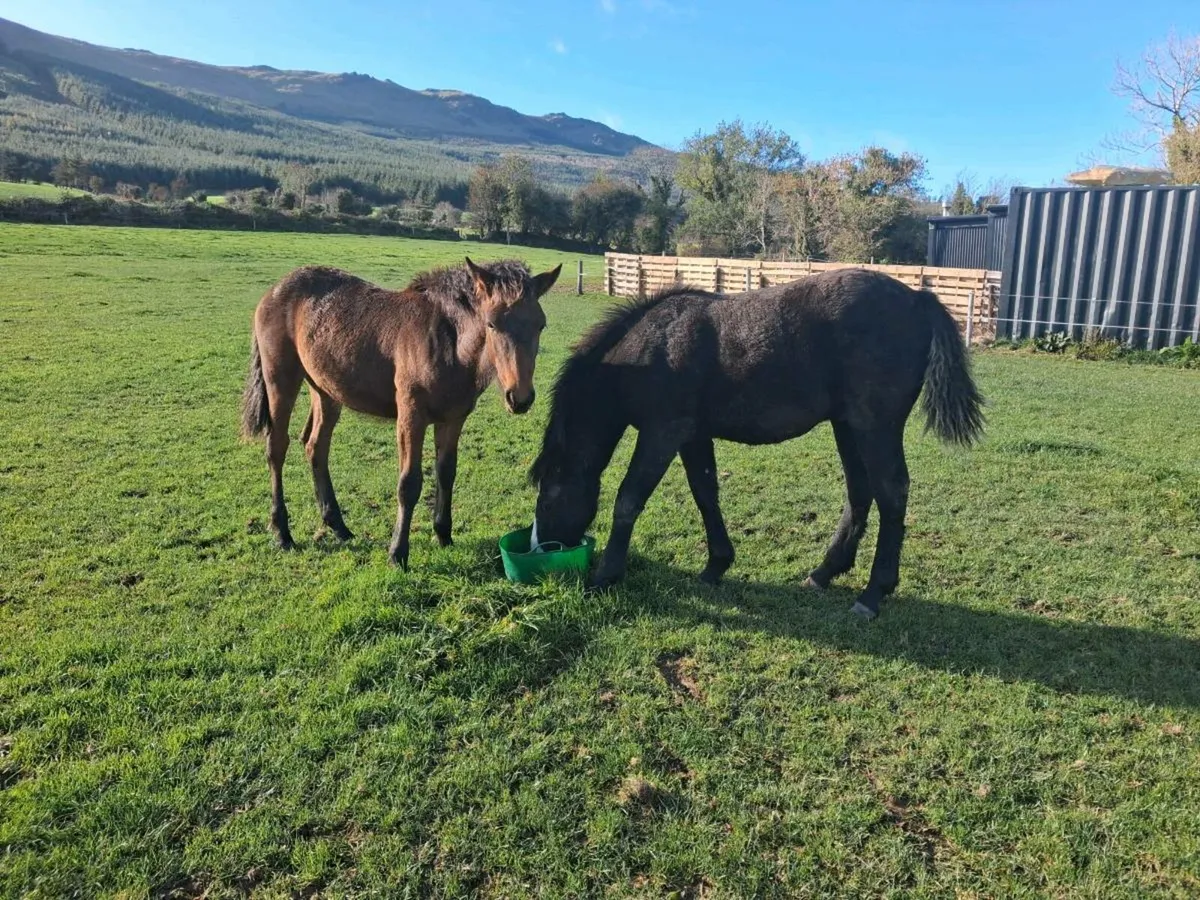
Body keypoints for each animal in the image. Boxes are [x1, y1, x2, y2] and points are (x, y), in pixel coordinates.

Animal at [242, 257, 561, 569]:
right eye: (492, 324)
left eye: (541, 325)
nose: (519, 398)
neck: (448, 345)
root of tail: (275, 290)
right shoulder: (411, 416)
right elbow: (409, 483)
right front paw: (398, 553)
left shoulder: (453, 419)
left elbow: (446, 473)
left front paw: (443, 535)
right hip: (280, 380)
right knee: (277, 447)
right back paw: (282, 533)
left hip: (325, 391)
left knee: (316, 447)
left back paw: (338, 526)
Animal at [528, 267, 984, 619]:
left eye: (548, 500)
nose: (540, 549)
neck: (650, 349)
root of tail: (917, 299)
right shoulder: (693, 435)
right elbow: (705, 494)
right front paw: (716, 565)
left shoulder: (662, 433)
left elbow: (628, 500)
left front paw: (606, 575)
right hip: (848, 427)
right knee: (860, 493)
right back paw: (824, 572)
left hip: (876, 428)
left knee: (892, 494)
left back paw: (873, 594)